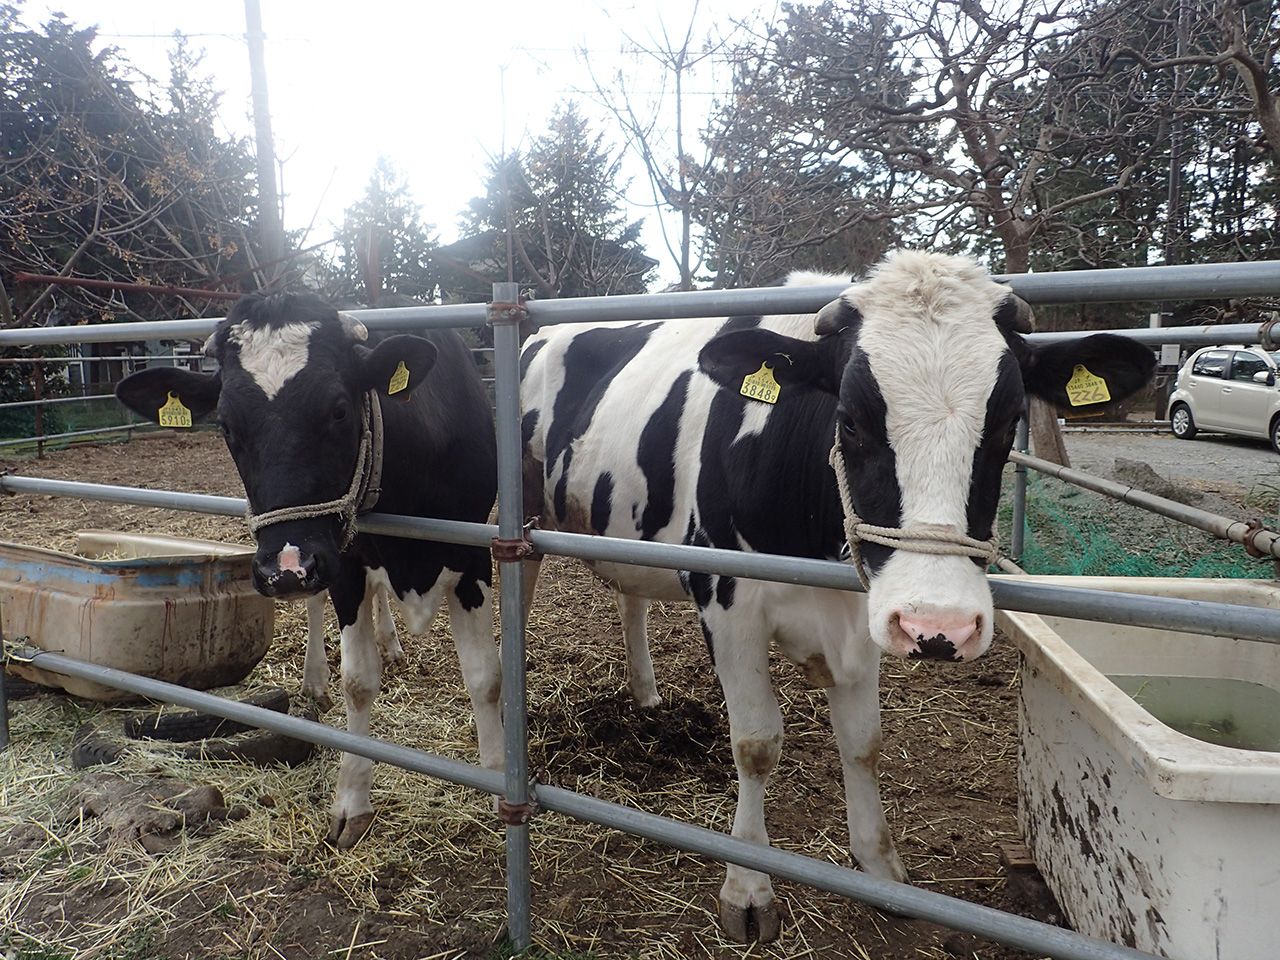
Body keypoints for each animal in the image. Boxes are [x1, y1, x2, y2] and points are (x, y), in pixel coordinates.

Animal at [115, 295, 501, 849]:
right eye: (226, 426)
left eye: (339, 409)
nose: (284, 570)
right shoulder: (346, 564)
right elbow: (359, 681)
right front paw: (351, 803)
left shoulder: (473, 552)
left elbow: (485, 676)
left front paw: (499, 783)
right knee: (324, 609)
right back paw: (317, 676)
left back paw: (391, 642)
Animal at [514, 249, 1157, 947]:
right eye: (848, 420)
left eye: (1008, 421)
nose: (941, 624)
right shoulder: (726, 596)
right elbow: (756, 743)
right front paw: (748, 888)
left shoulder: (867, 609)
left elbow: (863, 740)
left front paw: (878, 868)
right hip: (521, 520)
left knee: (630, 599)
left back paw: (646, 696)